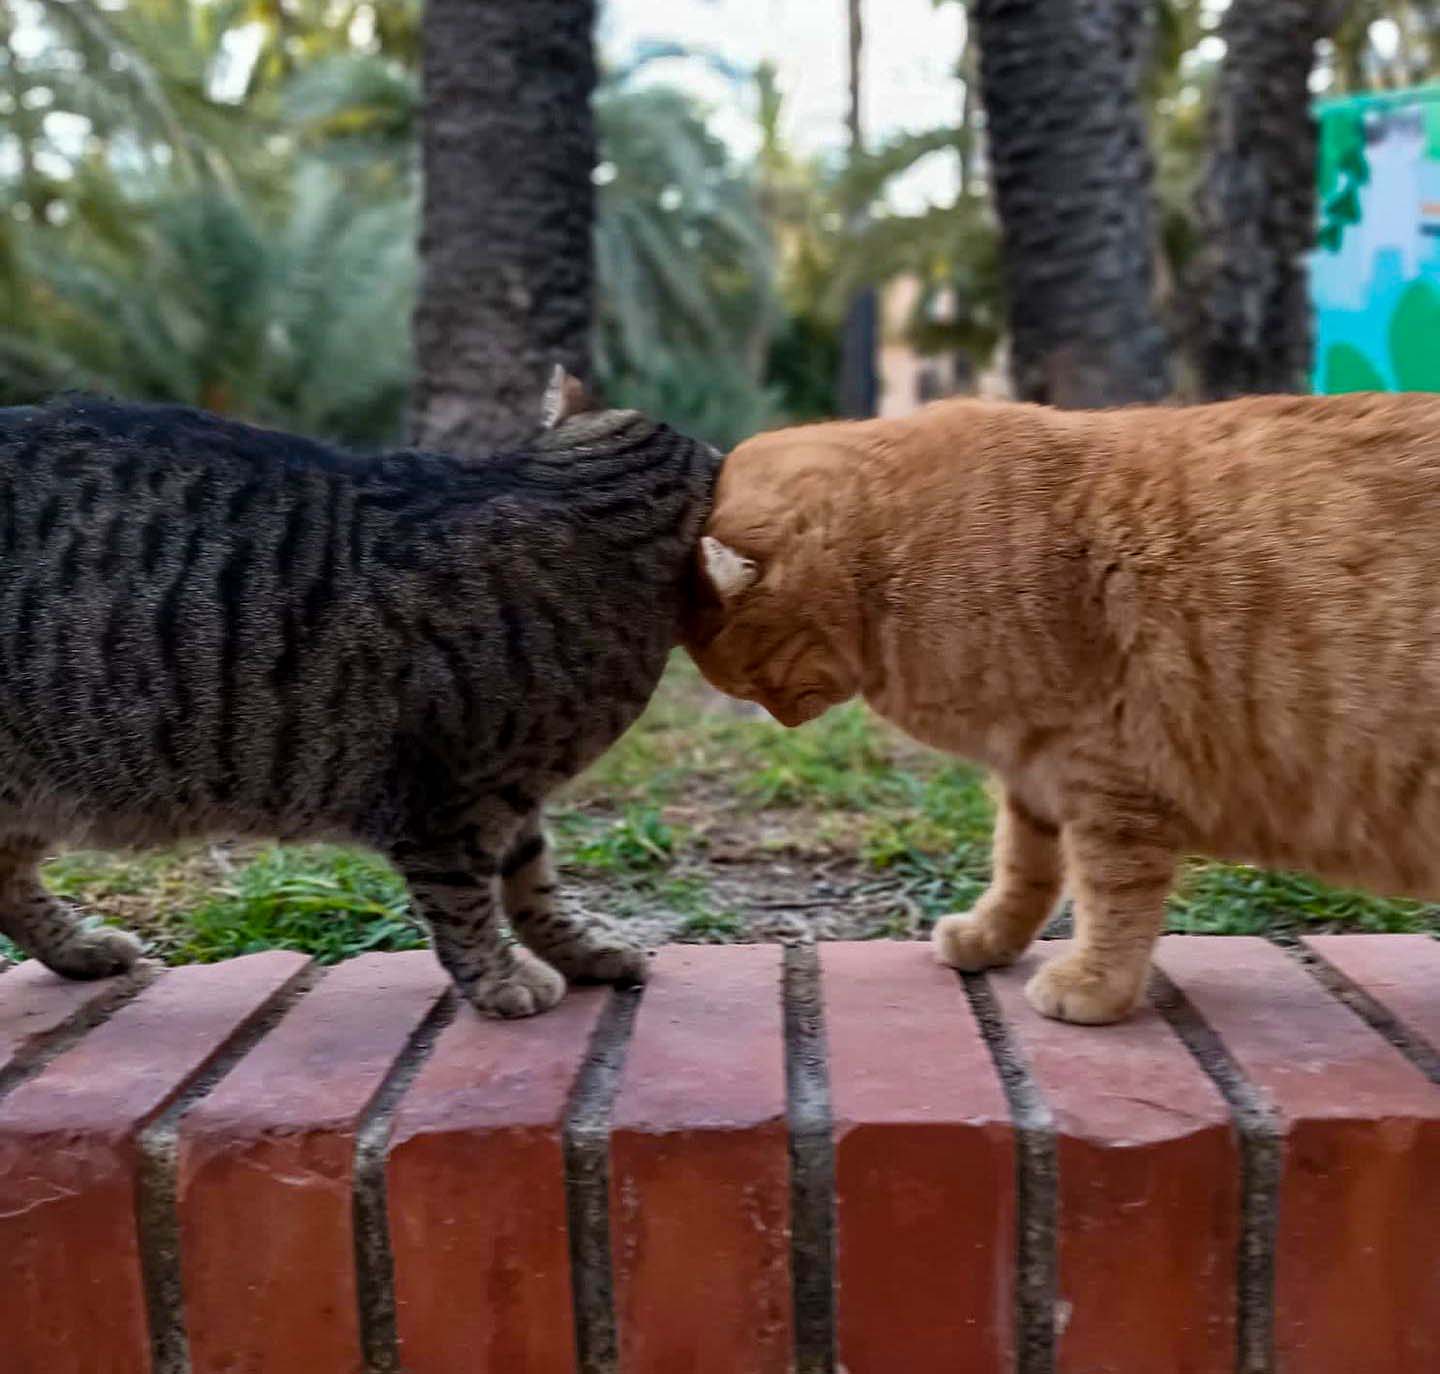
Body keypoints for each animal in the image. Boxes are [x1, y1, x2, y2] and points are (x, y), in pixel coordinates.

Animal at [0, 368, 720, 1013]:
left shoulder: (511, 790)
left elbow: (534, 882)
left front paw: (581, 950)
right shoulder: (449, 802)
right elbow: (465, 901)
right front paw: (497, 978)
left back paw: (78, 950)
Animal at [679, 391, 1440, 1025]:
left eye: (749, 678)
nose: (782, 719)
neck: (892, 557)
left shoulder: (1107, 774)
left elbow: (1112, 892)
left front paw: (1096, 987)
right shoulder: (1031, 765)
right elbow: (1024, 867)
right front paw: (990, 937)